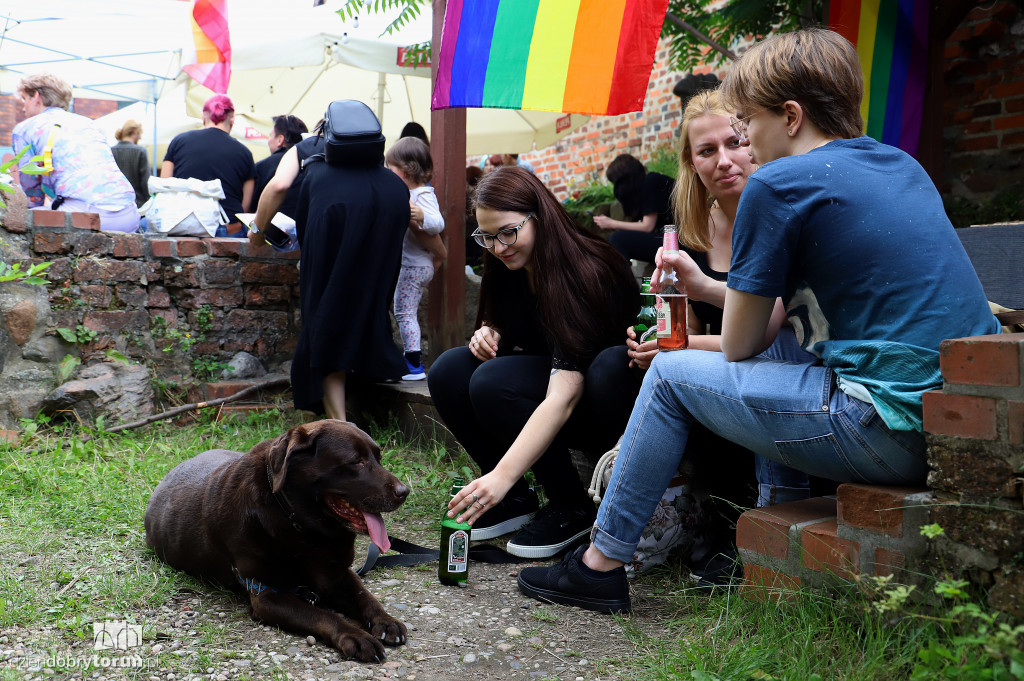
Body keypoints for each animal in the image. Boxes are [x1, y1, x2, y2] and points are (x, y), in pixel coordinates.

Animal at [145, 417, 407, 659]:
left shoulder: (338, 574)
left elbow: (365, 597)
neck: (300, 526)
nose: (404, 492)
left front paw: (386, 620)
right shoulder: (267, 595)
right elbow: (323, 615)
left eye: (379, 458)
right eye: (356, 461)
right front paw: (355, 636)